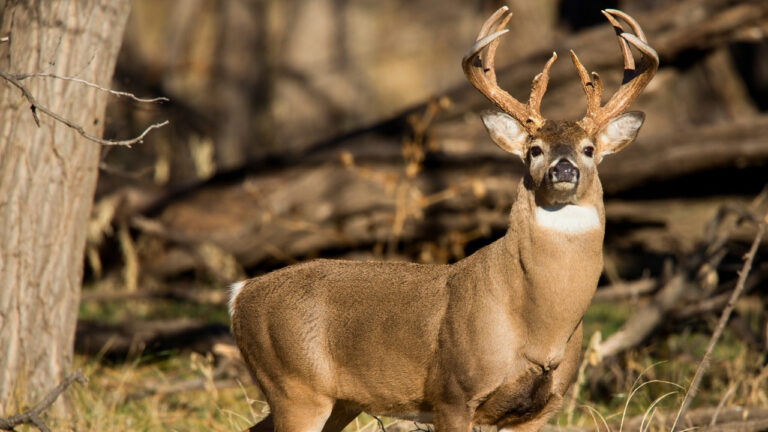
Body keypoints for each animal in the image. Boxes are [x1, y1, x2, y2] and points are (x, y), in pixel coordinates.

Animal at [229, 7, 657, 432]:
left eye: (589, 149)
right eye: (534, 149)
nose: (563, 168)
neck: (541, 328)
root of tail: (239, 295)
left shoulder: (541, 408)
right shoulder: (452, 393)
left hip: (338, 401)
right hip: (294, 384)